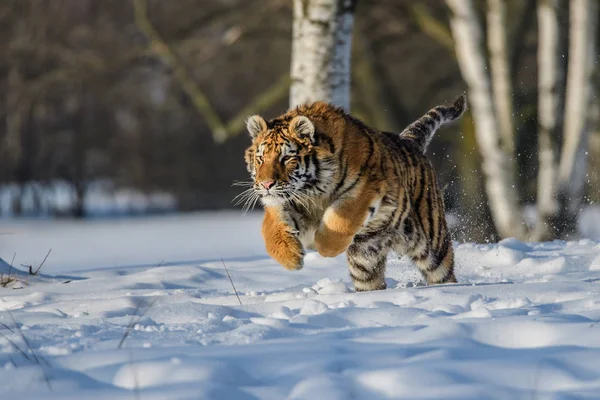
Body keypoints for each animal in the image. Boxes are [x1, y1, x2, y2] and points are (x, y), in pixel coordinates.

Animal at [239, 95, 468, 292]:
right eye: (260, 158)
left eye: (286, 158)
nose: (266, 184)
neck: (312, 189)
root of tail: (409, 141)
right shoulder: (287, 202)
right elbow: (272, 227)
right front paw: (291, 257)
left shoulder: (365, 188)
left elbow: (341, 219)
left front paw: (322, 246)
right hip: (365, 262)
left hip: (432, 245)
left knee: (442, 273)